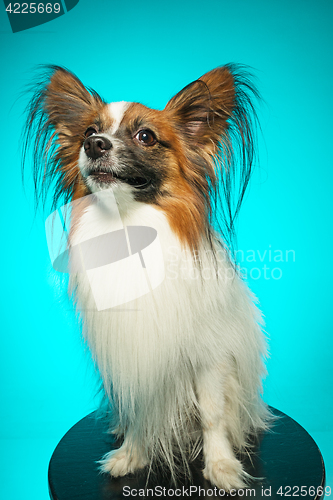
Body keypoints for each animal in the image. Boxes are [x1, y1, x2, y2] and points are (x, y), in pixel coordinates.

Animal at [24, 64, 270, 490]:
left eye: (146, 137)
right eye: (89, 131)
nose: (95, 145)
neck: (128, 227)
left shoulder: (210, 355)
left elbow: (212, 414)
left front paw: (221, 466)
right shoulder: (130, 356)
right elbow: (139, 407)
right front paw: (132, 454)